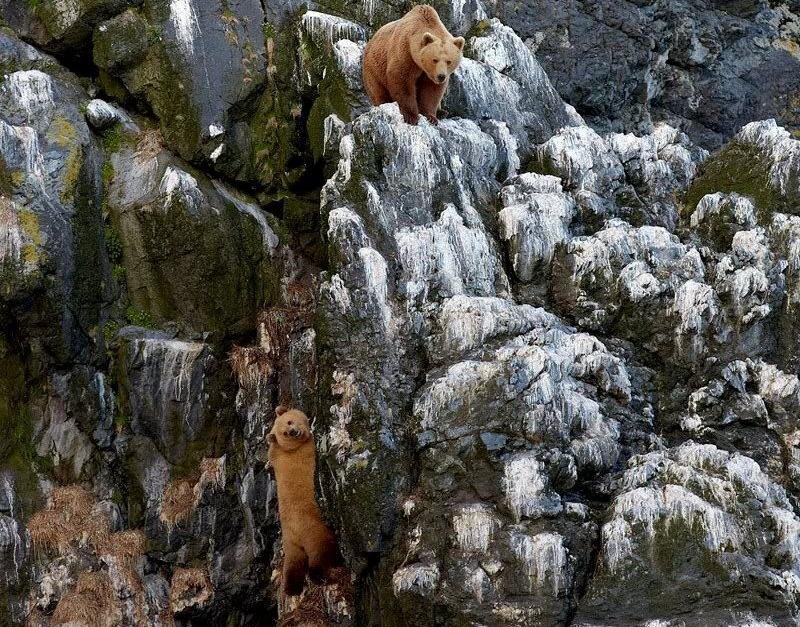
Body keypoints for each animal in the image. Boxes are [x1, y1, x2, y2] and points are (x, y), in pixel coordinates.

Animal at [268, 406, 339, 596]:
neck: (291, 449)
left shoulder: (275, 454)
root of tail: (297, 535)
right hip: (315, 530)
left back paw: (291, 588)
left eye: (289, 421)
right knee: (321, 552)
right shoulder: (307, 449)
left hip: (289, 544)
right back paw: (319, 574)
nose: (294, 431)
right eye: (285, 432)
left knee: (293, 564)